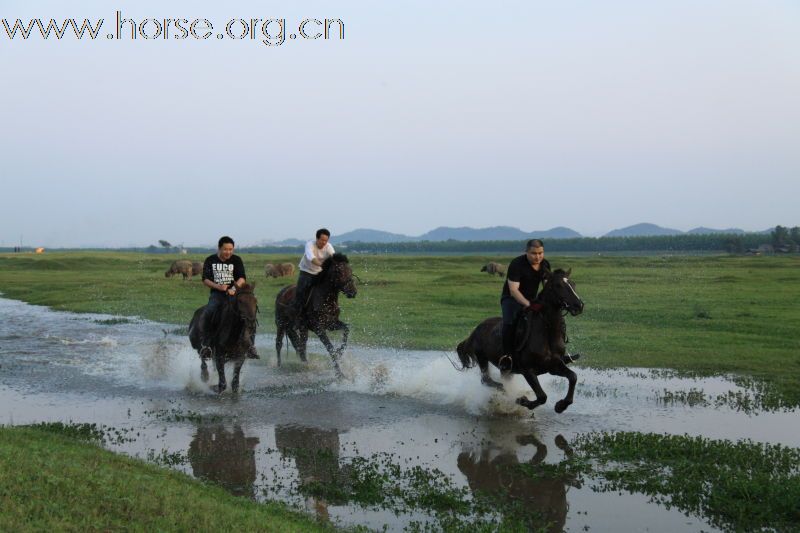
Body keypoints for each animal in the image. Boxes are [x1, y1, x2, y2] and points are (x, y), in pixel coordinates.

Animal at [456, 268, 588, 414]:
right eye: (558, 285)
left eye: (573, 284)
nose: (579, 305)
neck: (547, 334)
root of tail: (476, 329)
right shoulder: (528, 370)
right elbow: (542, 396)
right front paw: (522, 400)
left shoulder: (554, 366)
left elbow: (573, 377)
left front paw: (561, 406)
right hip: (482, 357)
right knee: (486, 380)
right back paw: (504, 392)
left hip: (506, 369)